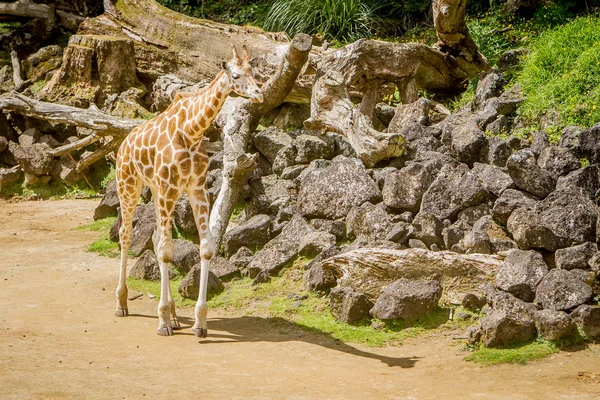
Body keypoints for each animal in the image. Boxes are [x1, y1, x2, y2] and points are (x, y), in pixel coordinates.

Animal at [112, 45, 262, 336]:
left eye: (255, 72)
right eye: (236, 75)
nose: (259, 94)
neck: (192, 131)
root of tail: (123, 144)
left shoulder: (195, 188)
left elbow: (205, 248)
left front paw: (199, 322)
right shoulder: (169, 188)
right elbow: (165, 250)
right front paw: (161, 321)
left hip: (156, 190)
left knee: (155, 237)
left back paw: (173, 316)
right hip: (129, 184)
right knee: (126, 235)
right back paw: (122, 304)